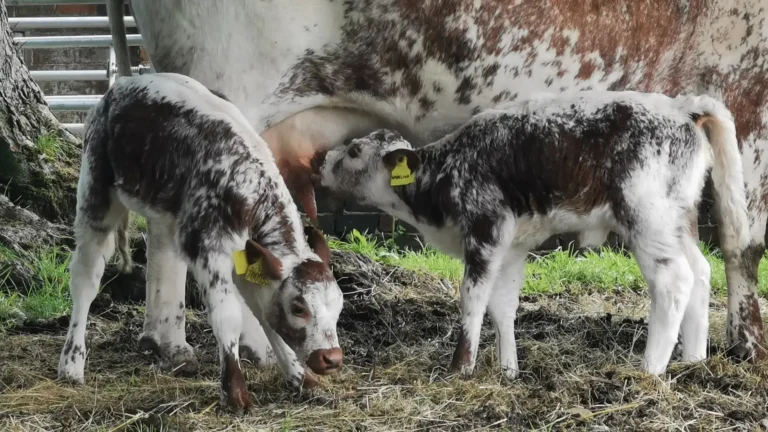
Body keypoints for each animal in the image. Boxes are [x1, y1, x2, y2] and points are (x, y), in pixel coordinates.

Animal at [57, 72, 344, 410]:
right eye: (299, 308)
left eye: (339, 305)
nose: (332, 359)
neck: (245, 183)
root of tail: (123, 84)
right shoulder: (209, 248)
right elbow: (227, 316)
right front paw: (235, 392)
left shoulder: (249, 259)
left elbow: (264, 314)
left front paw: (300, 377)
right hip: (96, 192)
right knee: (85, 277)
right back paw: (72, 363)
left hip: (164, 213)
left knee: (160, 258)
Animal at [311, 91, 748, 376]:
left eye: (354, 152)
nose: (320, 160)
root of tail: (680, 107)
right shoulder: (513, 246)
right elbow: (502, 305)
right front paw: (509, 371)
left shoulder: (485, 230)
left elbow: (472, 300)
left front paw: (461, 368)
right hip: (679, 219)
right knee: (701, 272)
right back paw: (694, 362)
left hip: (647, 216)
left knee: (673, 281)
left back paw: (650, 370)